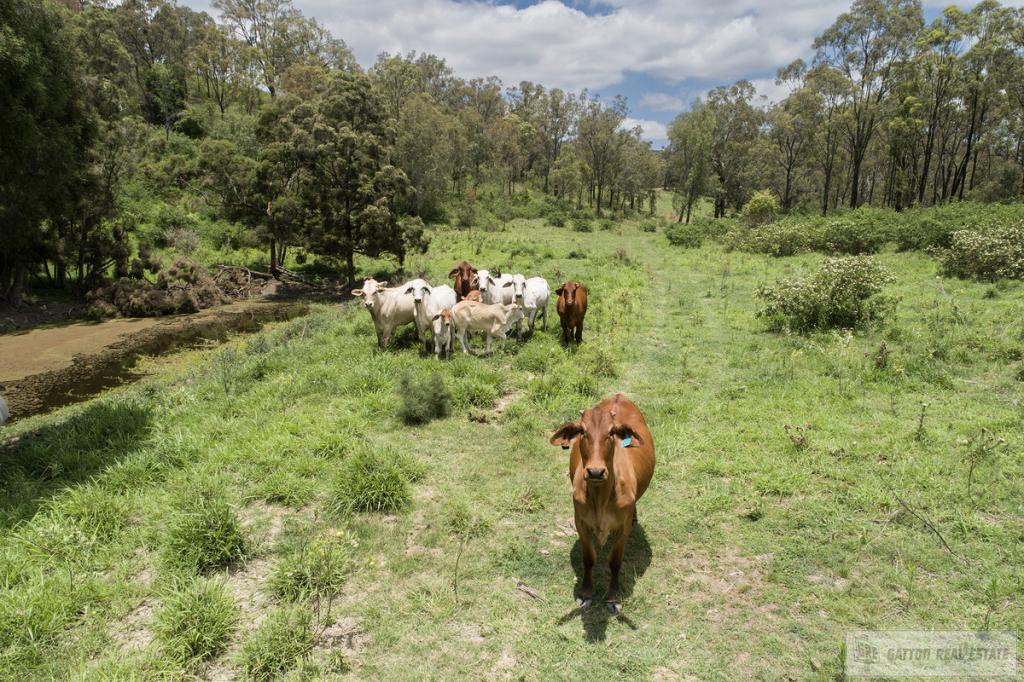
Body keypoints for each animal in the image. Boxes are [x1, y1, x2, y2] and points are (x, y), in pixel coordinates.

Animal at [552, 393, 655, 610]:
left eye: (611, 432)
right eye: (582, 431)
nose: (595, 472)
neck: (600, 497)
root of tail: (619, 395)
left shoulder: (623, 528)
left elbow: (615, 562)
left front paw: (613, 597)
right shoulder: (581, 523)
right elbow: (588, 559)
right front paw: (585, 593)